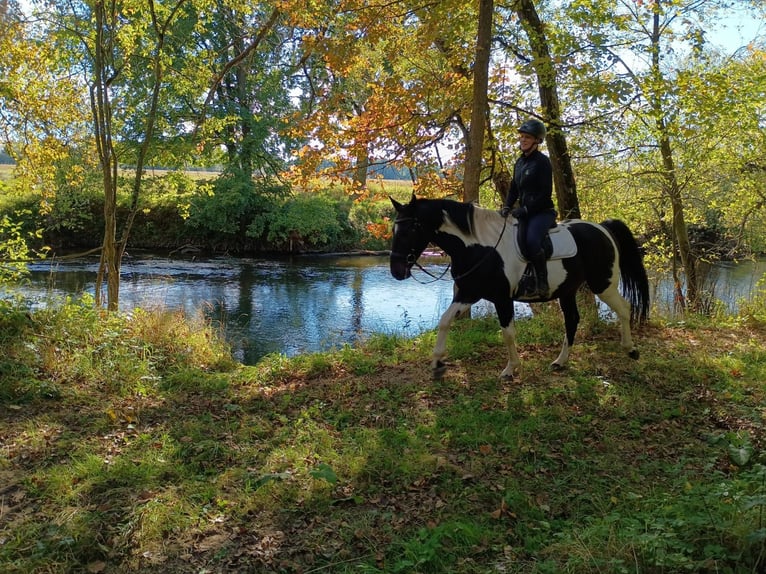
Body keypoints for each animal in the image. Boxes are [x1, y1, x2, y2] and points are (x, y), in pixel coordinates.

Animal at [389, 194, 650, 380]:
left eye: (411, 229)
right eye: (394, 230)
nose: (396, 271)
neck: (479, 247)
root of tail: (602, 228)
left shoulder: (502, 299)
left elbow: (508, 333)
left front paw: (510, 369)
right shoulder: (468, 294)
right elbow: (445, 321)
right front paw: (436, 362)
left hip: (603, 284)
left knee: (624, 309)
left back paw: (631, 349)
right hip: (567, 290)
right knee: (572, 320)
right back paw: (560, 362)